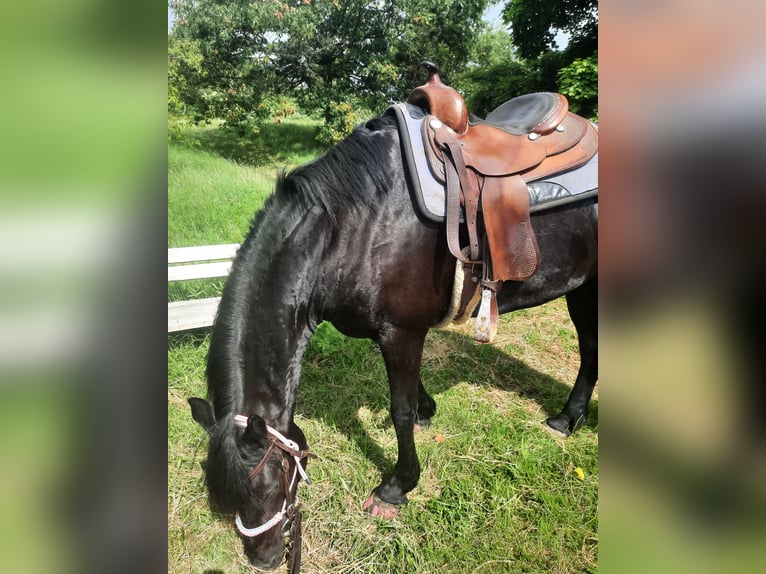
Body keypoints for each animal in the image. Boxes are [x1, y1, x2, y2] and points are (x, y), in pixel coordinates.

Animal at [188, 110, 597, 570]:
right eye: (224, 497)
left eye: (272, 486)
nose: (265, 558)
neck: (350, 225)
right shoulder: (393, 331)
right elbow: (410, 393)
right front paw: (427, 409)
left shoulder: (401, 330)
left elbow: (398, 411)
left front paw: (397, 486)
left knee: (591, 350)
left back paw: (568, 418)